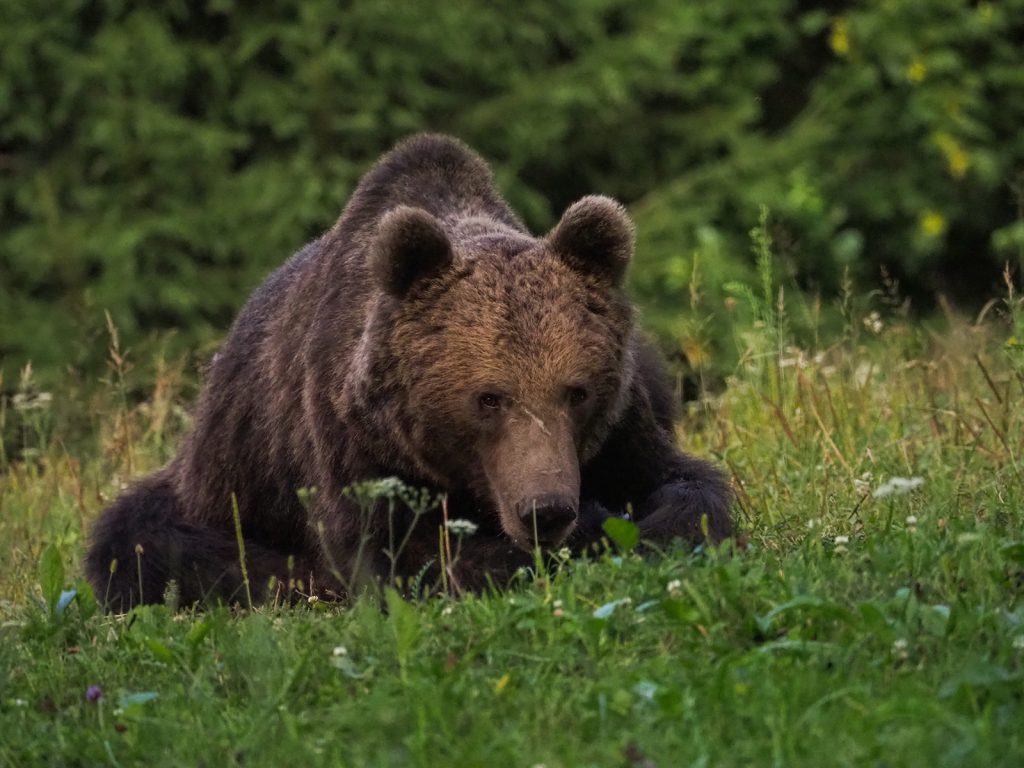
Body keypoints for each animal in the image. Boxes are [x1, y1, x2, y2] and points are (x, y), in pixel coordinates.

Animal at [83, 134, 733, 614]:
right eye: (489, 397)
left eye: (576, 392)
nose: (545, 510)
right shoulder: (354, 444)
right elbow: (406, 557)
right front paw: (582, 534)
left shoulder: (623, 425)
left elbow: (686, 486)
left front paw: (647, 527)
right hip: (221, 483)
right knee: (142, 542)